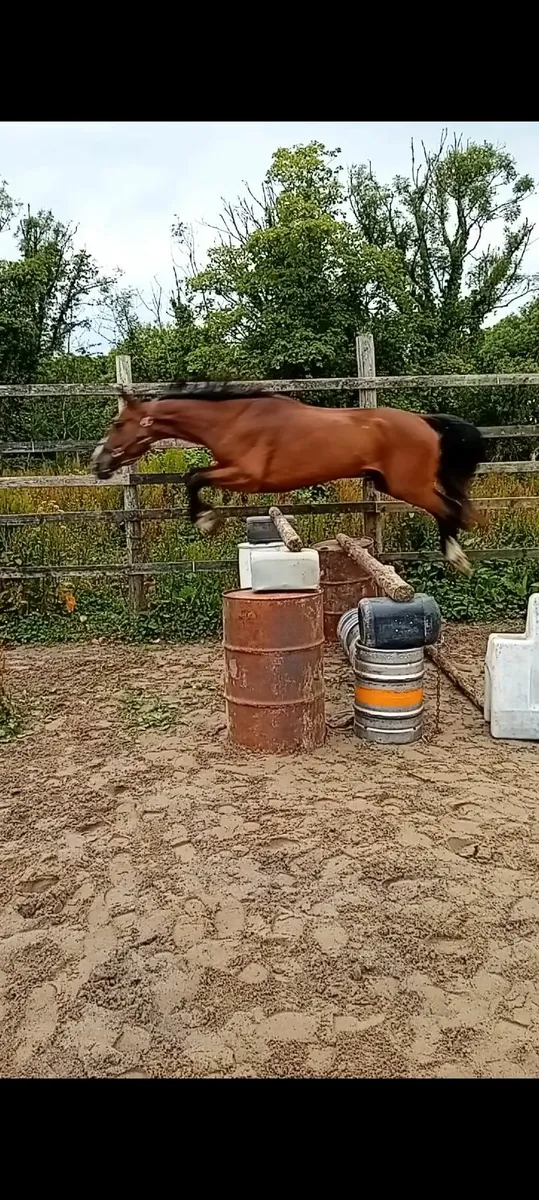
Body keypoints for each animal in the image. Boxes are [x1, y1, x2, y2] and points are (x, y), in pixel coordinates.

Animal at [90, 383, 485, 575]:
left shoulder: (247, 477)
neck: (234, 420)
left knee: (448, 509)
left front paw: (205, 521)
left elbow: (193, 477)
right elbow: (194, 476)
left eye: (118, 424)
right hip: (391, 484)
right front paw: (207, 519)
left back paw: (457, 559)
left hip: (409, 485)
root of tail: (425, 421)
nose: (98, 463)